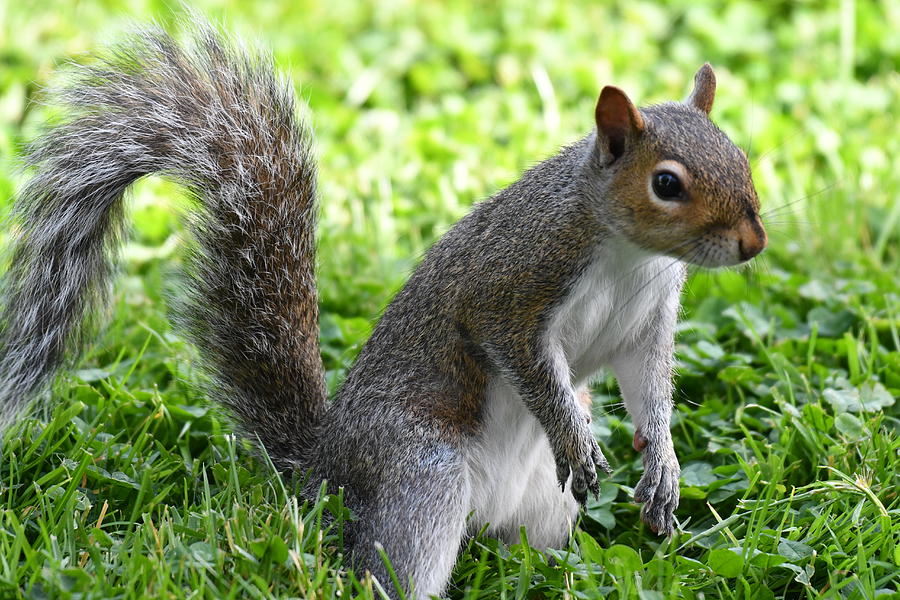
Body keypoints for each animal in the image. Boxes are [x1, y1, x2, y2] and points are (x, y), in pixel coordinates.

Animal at [0, 18, 768, 600]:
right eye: (666, 184)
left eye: (742, 157)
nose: (754, 242)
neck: (628, 252)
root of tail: (322, 474)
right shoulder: (515, 284)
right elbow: (524, 360)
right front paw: (575, 436)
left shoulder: (647, 322)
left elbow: (649, 388)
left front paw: (662, 465)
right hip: (419, 476)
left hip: (544, 510)